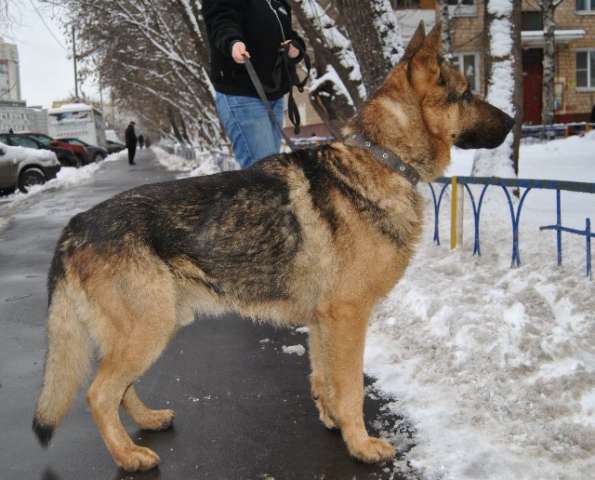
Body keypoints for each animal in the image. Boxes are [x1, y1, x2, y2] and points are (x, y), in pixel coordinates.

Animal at [33, 24, 516, 470]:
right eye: (466, 94)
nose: (515, 123)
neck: (382, 157)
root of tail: (76, 225)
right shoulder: (348, 316)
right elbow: (352, 388)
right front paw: (360, 445)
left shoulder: (324, 321)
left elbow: (325, 379)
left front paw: (333, 421)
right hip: (147, 329)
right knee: (98, 394)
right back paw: (128, 456)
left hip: (153, 327)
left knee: (120, 389)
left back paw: (148, 421)